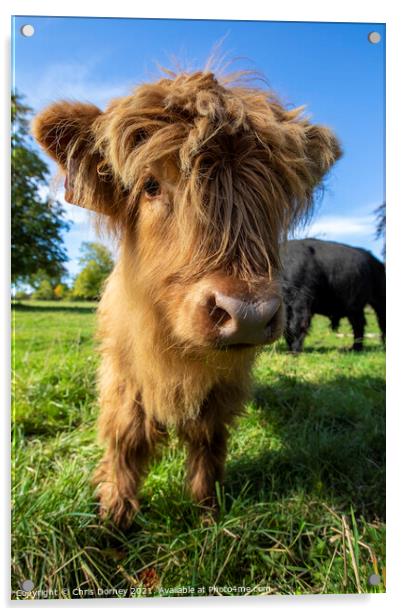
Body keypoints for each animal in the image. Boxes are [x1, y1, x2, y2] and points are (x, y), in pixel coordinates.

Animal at [33, 70, 340, 528]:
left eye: (274, 192)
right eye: (151, 185)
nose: (247, 313)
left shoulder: (225, 381)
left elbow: (208, 437)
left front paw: (207, 510)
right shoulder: (123, 365)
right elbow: (126, 436)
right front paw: (114, 515)